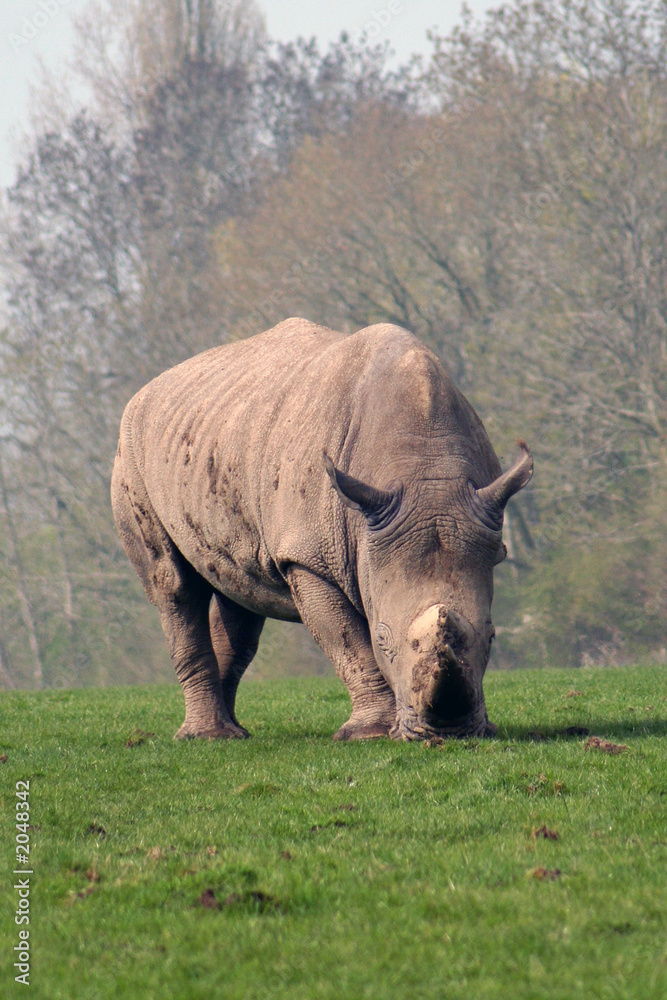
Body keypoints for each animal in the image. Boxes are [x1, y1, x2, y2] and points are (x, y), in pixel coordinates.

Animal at [111, 318, 532, 741]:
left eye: (492, 635)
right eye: (384, 639)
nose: (447, 731)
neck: (425, 470)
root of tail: (146, 391)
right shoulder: (306, 556)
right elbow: (348, 643)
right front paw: (369, 734)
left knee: (241, 592)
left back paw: (233, 734)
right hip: (131, 453)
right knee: (174, 586)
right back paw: (206, 738)